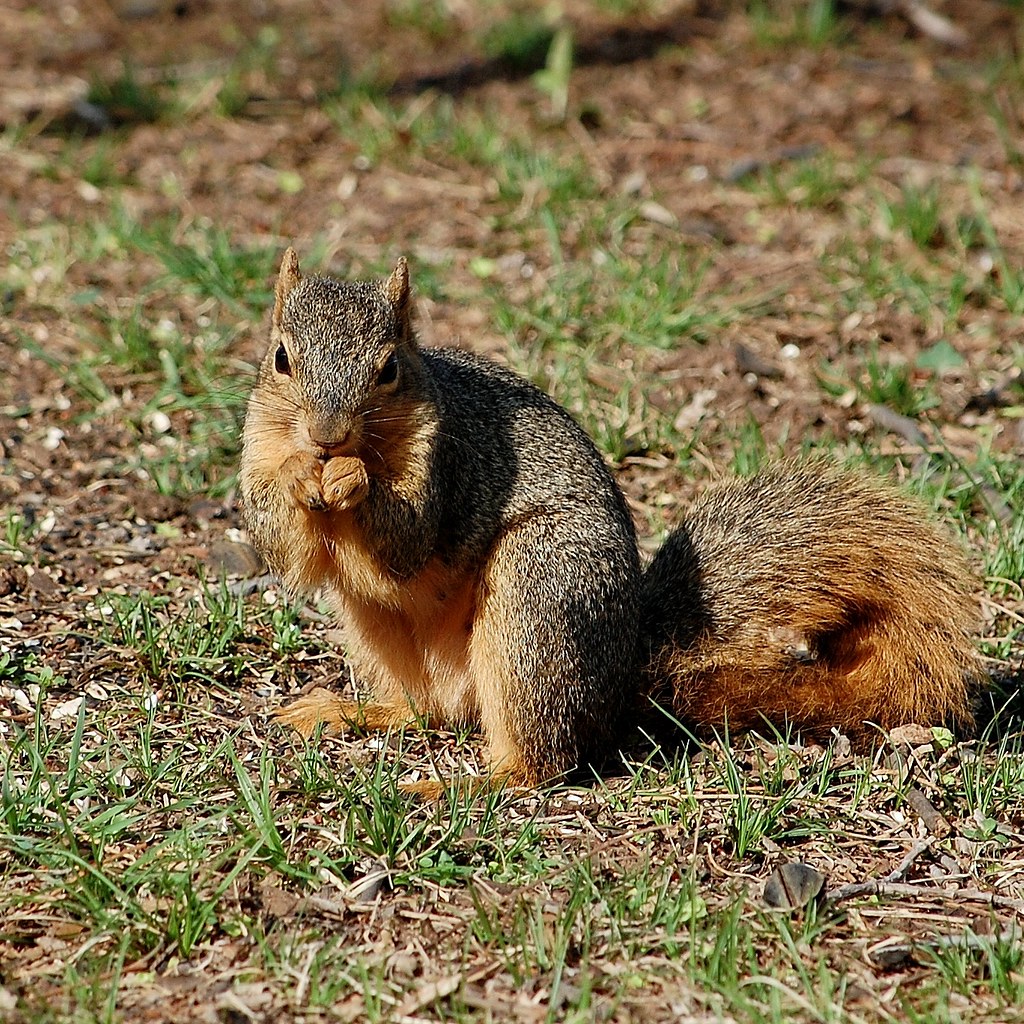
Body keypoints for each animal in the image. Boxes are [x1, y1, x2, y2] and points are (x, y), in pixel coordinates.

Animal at [239, 249, 984, 795]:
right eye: (280, 358)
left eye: (389, 368)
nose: (328, 435)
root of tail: (625, 668)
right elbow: (283, 546)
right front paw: (301, 478)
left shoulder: (449, 461)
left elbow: (409, 541)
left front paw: (351, 481)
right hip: (374, 630)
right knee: (426, 709)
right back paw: (346, 710)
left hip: (537, 599)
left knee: (540, 760)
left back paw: (465, 784)